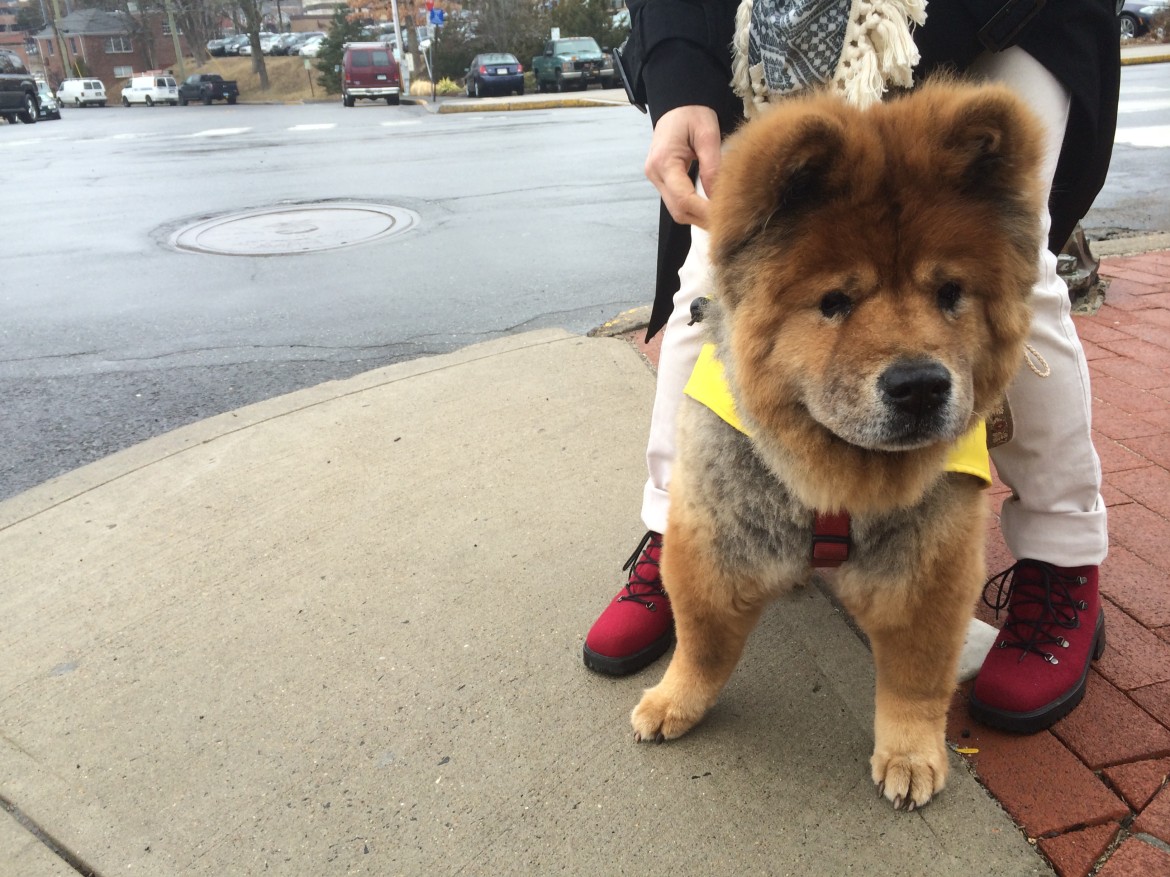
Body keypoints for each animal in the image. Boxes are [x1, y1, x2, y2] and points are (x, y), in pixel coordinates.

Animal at [636, 80, 1048, 809]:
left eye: (950, 293)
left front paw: (911, 754)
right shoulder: (719, 540)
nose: (919, 386)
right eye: (834, 301)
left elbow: (915, 678)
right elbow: (703, 641)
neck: (836, 473)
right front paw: (674, 700)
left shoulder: (926, 563)